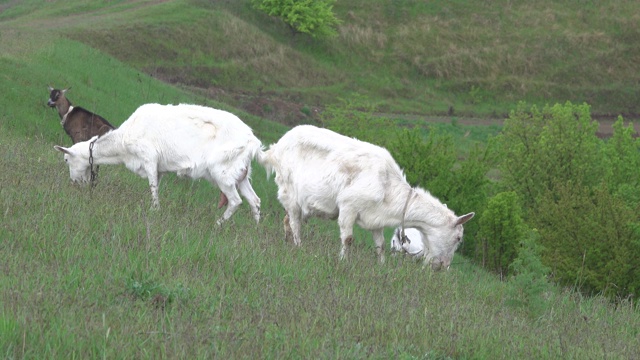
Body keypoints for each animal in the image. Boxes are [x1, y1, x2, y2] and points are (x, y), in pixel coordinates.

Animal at [53, 102, 262, 224]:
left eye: (66, 159)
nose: (74, 183)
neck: (122, 143)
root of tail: (253, 141)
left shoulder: (149, 158)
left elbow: (153, 187)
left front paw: (155, 211)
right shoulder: (159, 168)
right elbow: (156, 186)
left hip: (223, 173)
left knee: (235, 201)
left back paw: (218, 225)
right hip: (240, 174)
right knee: (255, 201)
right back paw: (255, 230)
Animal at [260, 125, 476, 268]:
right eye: (458, 238)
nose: (443, 265)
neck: (388, 186)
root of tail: (276, 147)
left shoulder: (376, 218)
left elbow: (380, 245)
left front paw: (381, 266)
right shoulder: (348, 206)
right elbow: (348, 238)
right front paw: (343, 261)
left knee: (287, 220)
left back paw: (288, 243)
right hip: (289, 192)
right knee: (294, 222)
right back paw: (299, 246)